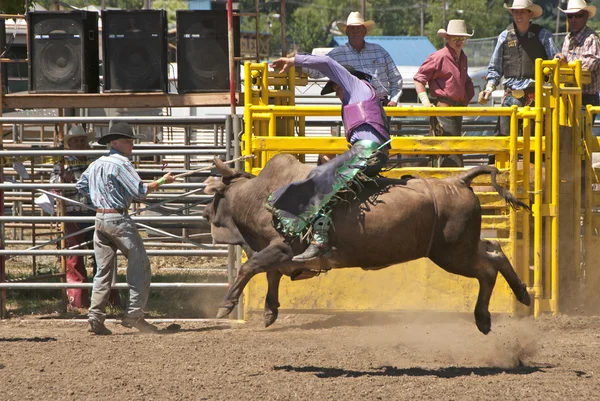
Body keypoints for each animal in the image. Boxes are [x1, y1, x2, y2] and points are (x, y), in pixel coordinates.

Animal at [204, 155, 532, 332]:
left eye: (215, 196)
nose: (205, 213)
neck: (261, 196)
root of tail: (458, 180)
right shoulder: (279, 253)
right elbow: (270, 273)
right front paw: (270, 312)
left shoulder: (281, 248)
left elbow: (250, 267)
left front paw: (225, 306)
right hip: (462, 246)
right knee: (495, 251)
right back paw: (522, 294)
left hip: (452, 253)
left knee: (486, 270)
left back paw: (484, 318)